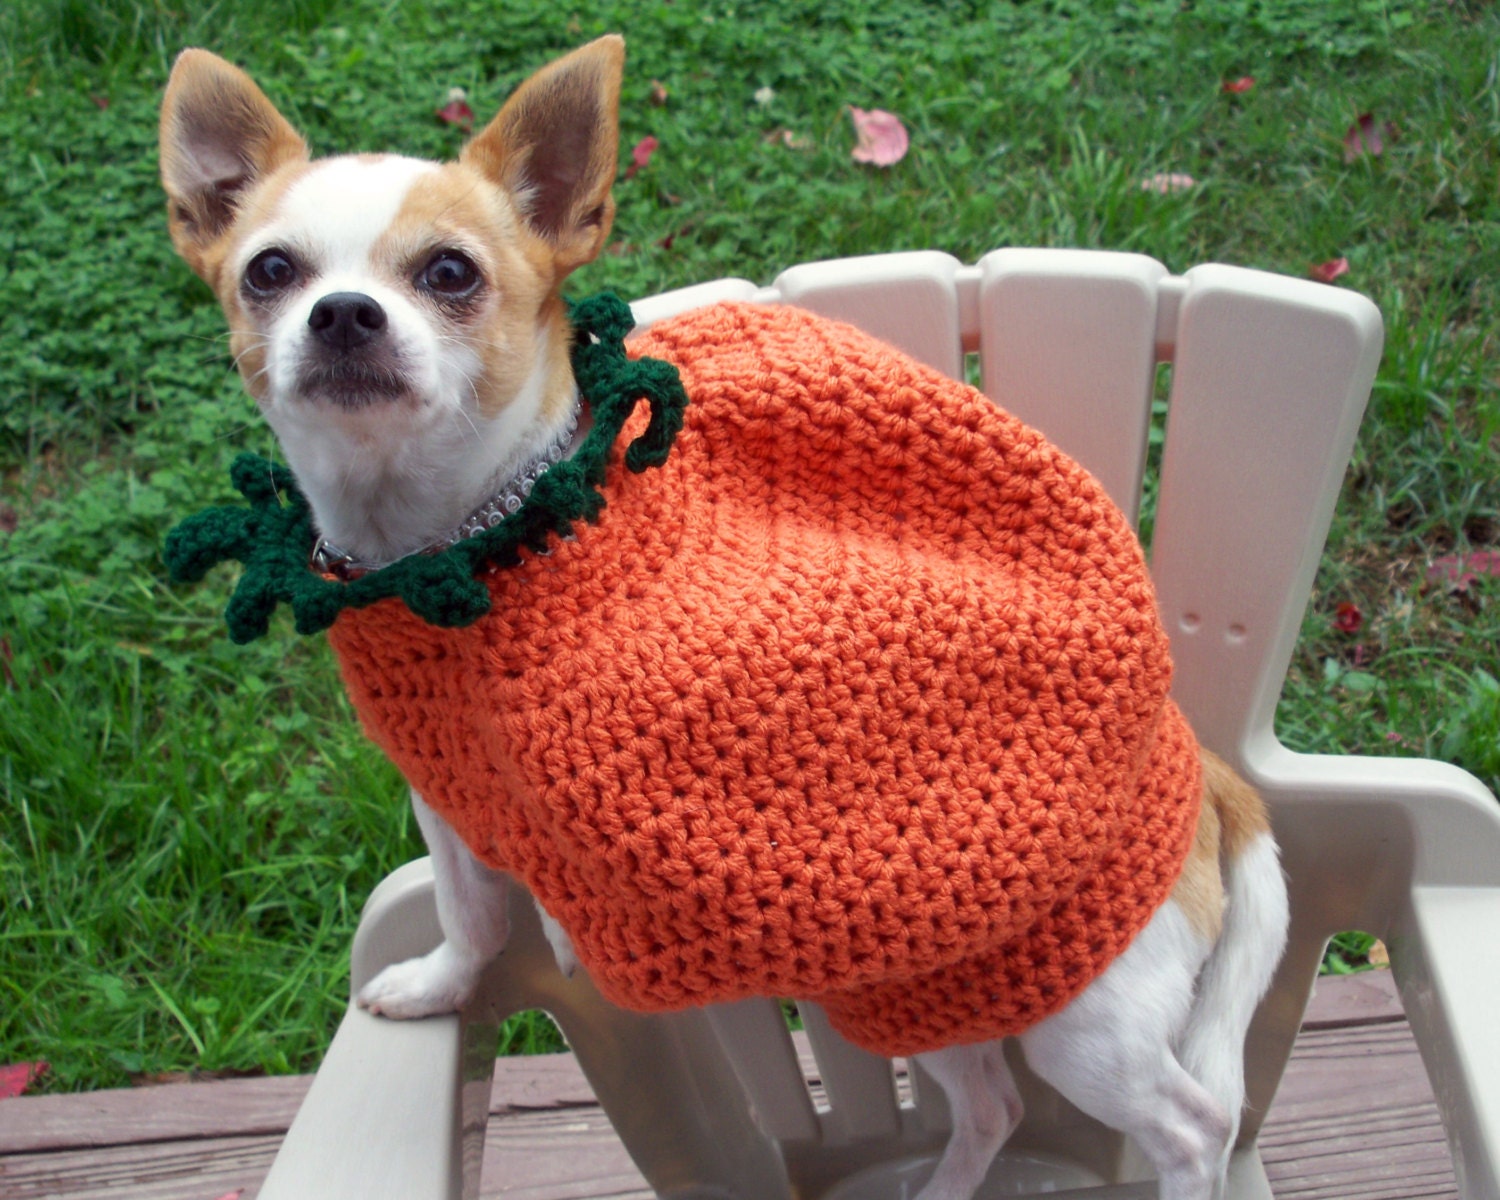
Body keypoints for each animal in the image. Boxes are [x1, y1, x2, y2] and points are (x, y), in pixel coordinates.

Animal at [161, 37, 1290, 1200]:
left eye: (449, 274)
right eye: (270, 272)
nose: (342, 313)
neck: (474, 535)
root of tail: (1204, 773)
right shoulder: (449, 799)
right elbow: (471, 919)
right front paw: (437, 985)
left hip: (1086, 1018)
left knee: (1192, 1125)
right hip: (923, 983)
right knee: (992, 1104)